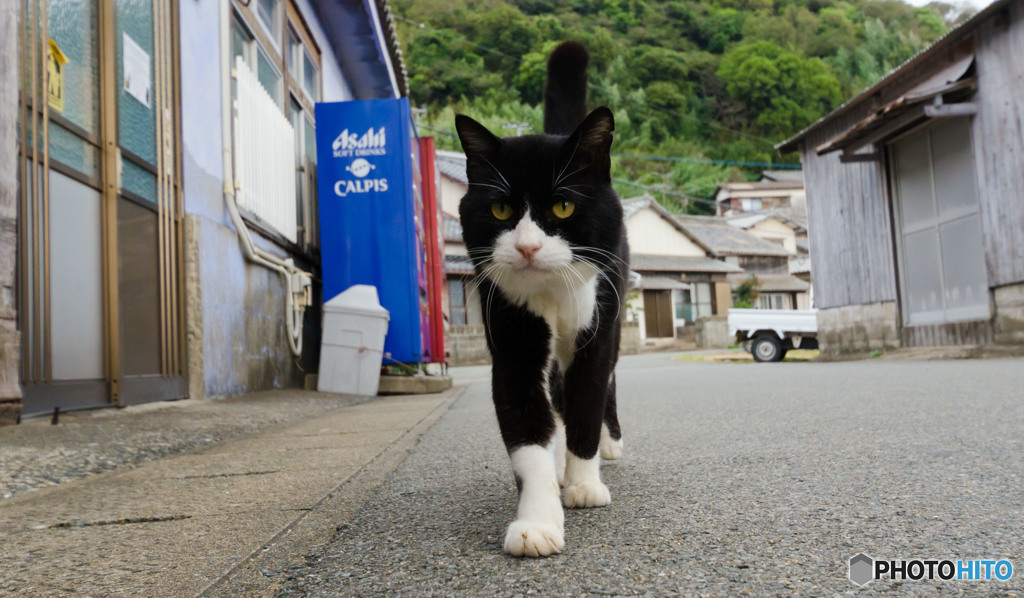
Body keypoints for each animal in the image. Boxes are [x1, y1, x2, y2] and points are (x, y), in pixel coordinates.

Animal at [458, 40, 630, 557]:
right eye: (500, 210)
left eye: (563, 206)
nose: (528, 247)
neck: (552, 294)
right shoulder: (512, 337)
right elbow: (528, 428)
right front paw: (537, 520)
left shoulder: (596, 329)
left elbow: (587, 404)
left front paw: (584, 483)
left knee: (607, 382)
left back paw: (607, 447)